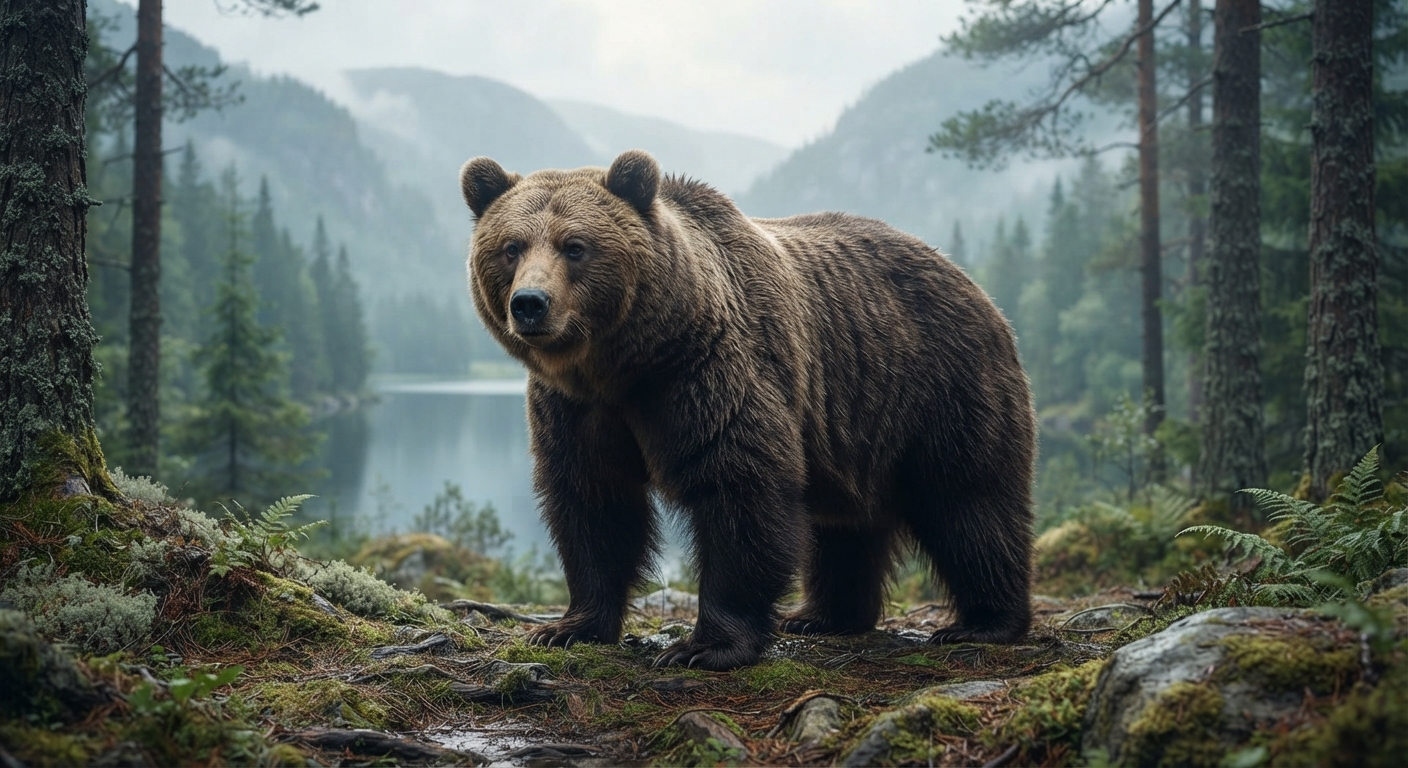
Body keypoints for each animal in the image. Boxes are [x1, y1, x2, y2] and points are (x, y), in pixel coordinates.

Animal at [461, 149, 1035, 670]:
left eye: (575, 246)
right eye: (511, 247)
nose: (530, 303)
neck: (627, 364)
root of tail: (973, 284)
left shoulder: (709, 371)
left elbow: (739, 486)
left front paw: (704, 646)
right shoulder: (576, 409)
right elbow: (593, 501)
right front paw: (569, 627)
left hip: (939, 386)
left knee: (969, 502)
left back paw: (982, 622)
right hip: (856, 425)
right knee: (847, 526)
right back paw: (823, 616)